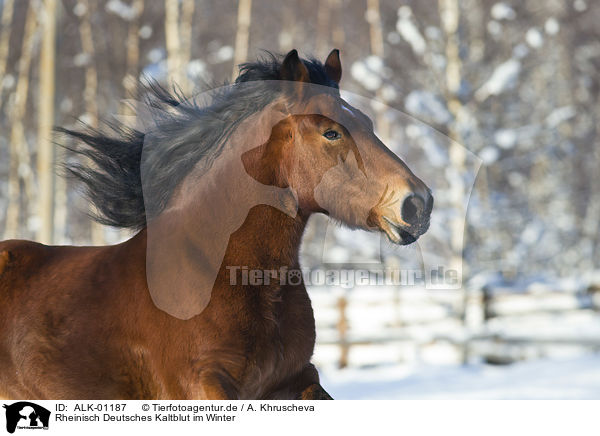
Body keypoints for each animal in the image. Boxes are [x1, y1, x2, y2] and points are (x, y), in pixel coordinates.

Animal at [0, 48, 432, 398]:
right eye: (331, 132)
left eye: (368, 123)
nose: (419, 204)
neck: (220, 271)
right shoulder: (199, 385)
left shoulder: (296, 379)